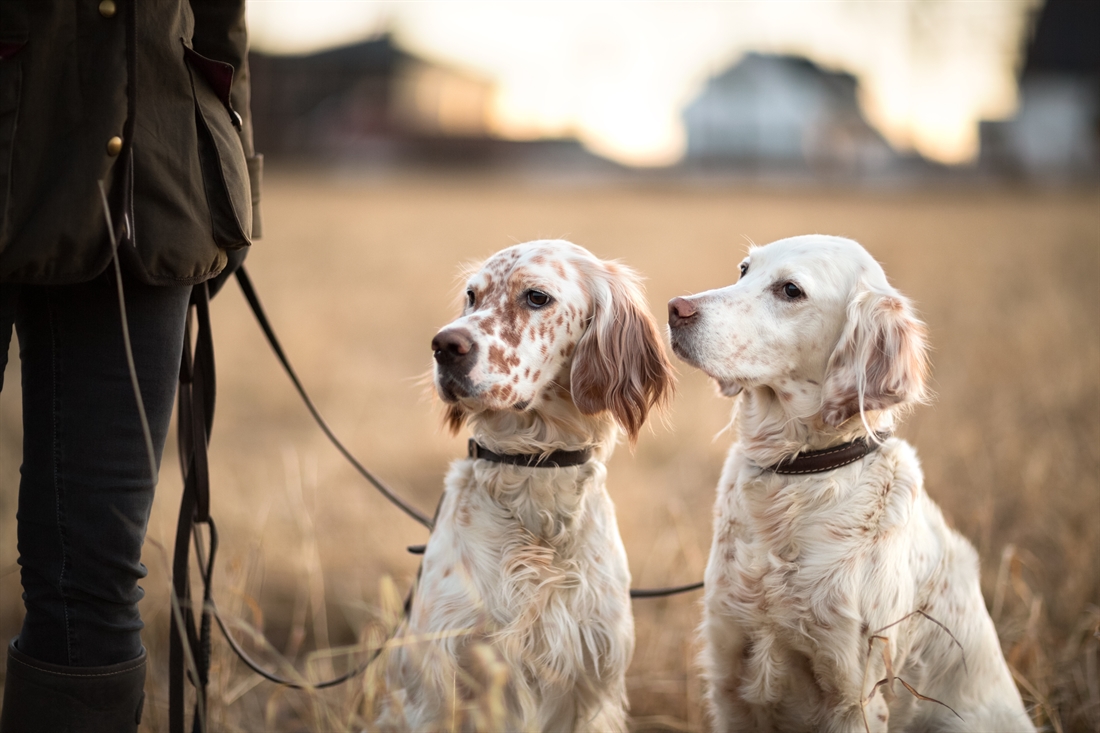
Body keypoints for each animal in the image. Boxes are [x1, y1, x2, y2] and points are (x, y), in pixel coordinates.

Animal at [374, 241, 673, 730]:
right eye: (472, 296)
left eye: (536, 297)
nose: (444, 345)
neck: (534, 476)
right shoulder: (437, 688)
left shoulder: (592, 684)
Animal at [664, 235, 1034, 730]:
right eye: (744, 269)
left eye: (790, 290)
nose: (676, 308)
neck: (795, 477)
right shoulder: (729, 676)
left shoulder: (854, 693)